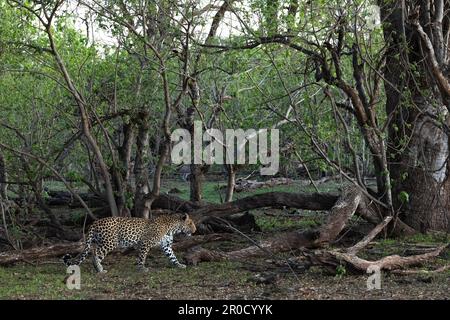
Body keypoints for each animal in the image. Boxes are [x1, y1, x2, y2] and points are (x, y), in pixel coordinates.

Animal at [62, 212, 195, 272]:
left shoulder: (166, 246)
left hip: (102, 241)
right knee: (95, 254)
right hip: (109, 242)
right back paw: (100, 269)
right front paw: (142, 268)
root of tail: (95, 222)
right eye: (190, 223)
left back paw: (98, 268)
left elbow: (173, 256)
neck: (172, 228)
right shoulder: (145, 243)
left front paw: (179, 265)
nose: (195, 230)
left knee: (93, 251)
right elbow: (142, 257)